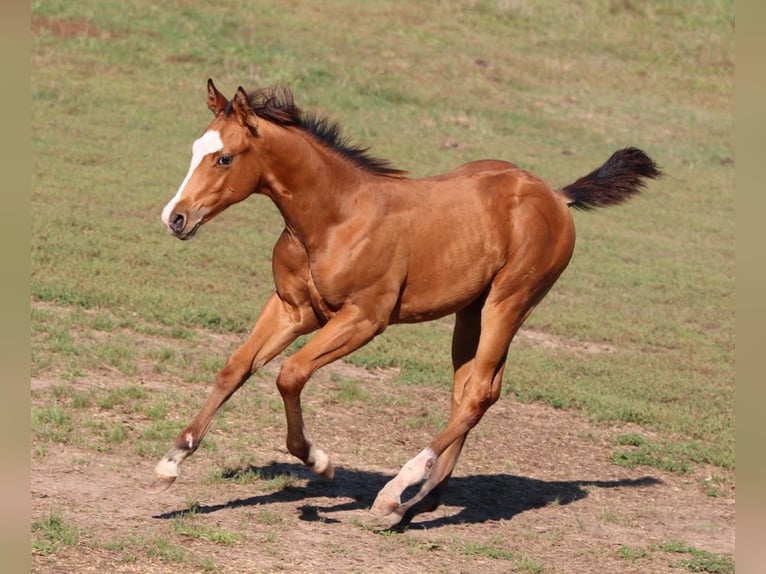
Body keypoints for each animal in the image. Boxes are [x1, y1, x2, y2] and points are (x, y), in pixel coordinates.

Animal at [153, 79, 664, 528]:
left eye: (224, 158)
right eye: (195, 149)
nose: (175, 217)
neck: (335, 218)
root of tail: (557, 196)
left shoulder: (364, 318)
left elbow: (290, 374)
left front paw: (319, 461)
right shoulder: (291, 309)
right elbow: (234, 369)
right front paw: (171, 461)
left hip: (509, 303)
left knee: (479, 393)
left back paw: (394, 495)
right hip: (470, 312)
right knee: (468, 392)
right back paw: (418, 502)